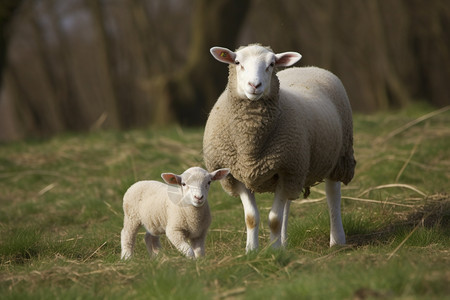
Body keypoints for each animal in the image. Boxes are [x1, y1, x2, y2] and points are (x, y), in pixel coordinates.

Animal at [203, 43, 356, 252]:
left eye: (271, 64)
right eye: (237, 62)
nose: (255, 85)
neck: (250, 149)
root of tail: (305, 67)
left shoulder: (287, 170)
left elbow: (274, 219)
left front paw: (274, 251)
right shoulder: (238, 175)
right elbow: (251, 218)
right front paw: (252, 251)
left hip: (338, 156)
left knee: (333, 195)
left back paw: (337, 240)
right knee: (287, 205)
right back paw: (284, 241)